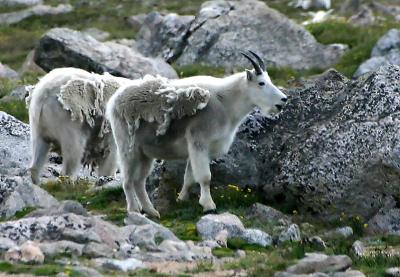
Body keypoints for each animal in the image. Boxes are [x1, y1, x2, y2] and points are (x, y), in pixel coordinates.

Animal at [106, 50, 288, 217]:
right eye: (261, 83)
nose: (283, 100)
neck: (226, 103)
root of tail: (114, 101)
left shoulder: (199, 149)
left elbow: (189, 177)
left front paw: (182, 199)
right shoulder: (199, 141)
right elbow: (205, 177)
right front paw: (209, 206)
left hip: (145, 153)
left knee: (139, 181)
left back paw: (152, 211)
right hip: (128, 147)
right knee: (128, 180)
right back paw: (134, 210)